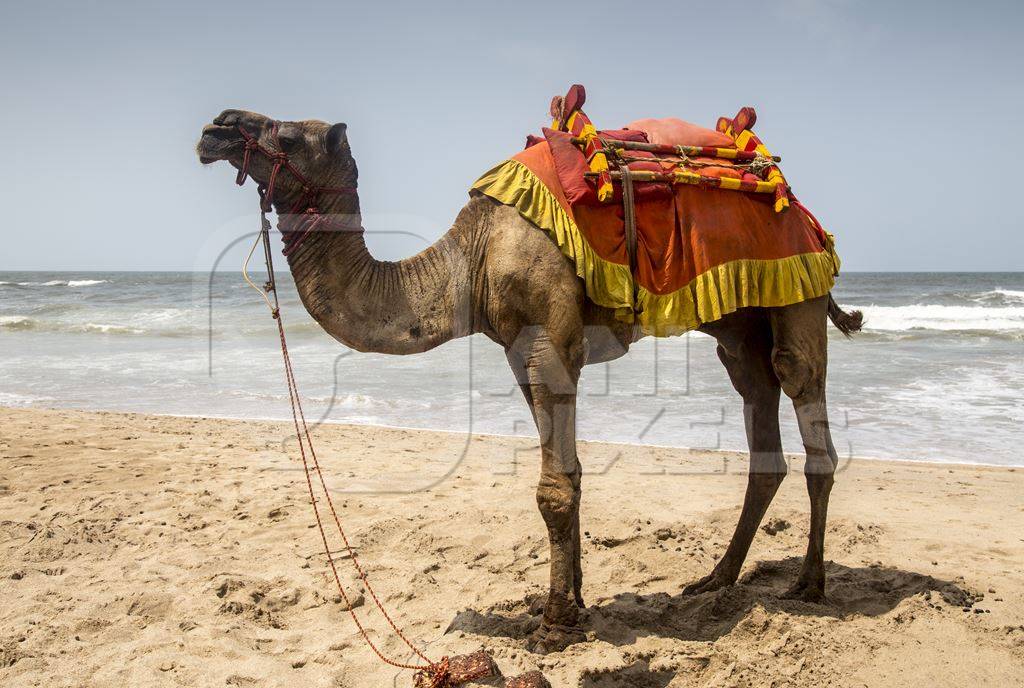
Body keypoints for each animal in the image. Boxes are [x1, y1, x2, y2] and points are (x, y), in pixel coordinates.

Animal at [193, 110, 864, 651]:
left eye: (283, 133)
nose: (216, 127)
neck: (471, 257)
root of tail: (804, 213)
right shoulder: (522, 353)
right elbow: (571, 474)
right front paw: (579, 605)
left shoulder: (547, 339)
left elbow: (551, 488)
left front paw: (554, 624)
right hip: (740, 319)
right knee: (757, 405)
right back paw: (716, 579)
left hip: (797, 284)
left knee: (801, 392)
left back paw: (808, 584)